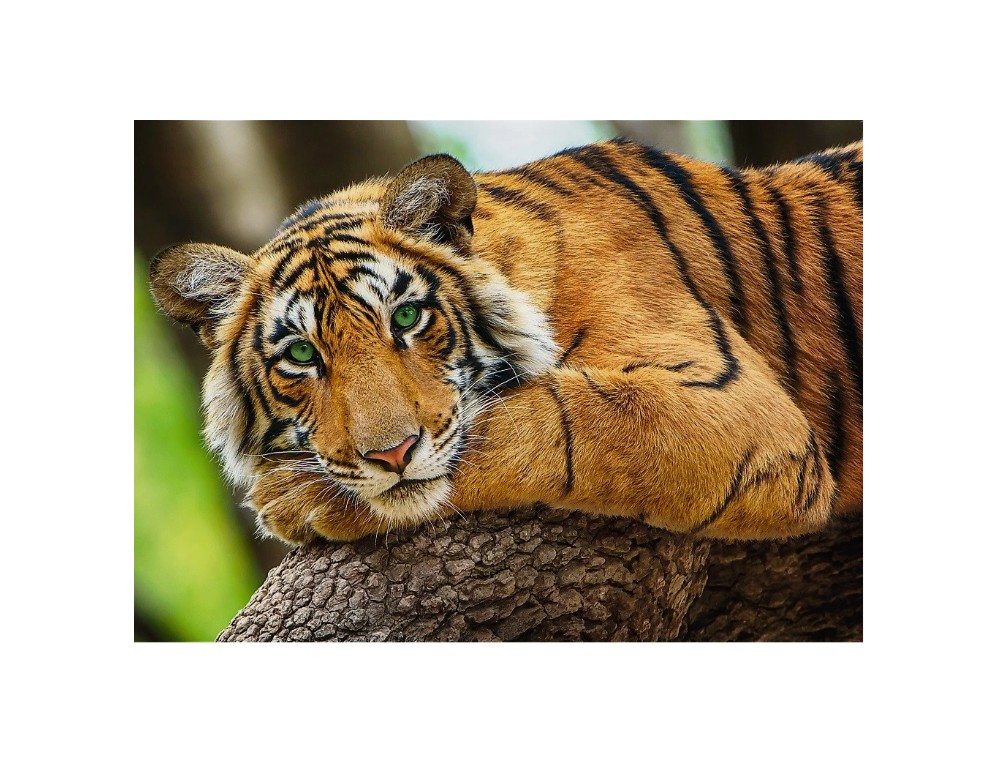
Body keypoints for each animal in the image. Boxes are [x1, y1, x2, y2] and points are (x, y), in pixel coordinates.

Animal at [149, 138, 862, 546]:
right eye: (301, 355)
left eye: (407, 317)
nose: (391, 455)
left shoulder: (742, 410)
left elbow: (557, 419)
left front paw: (296, 497)